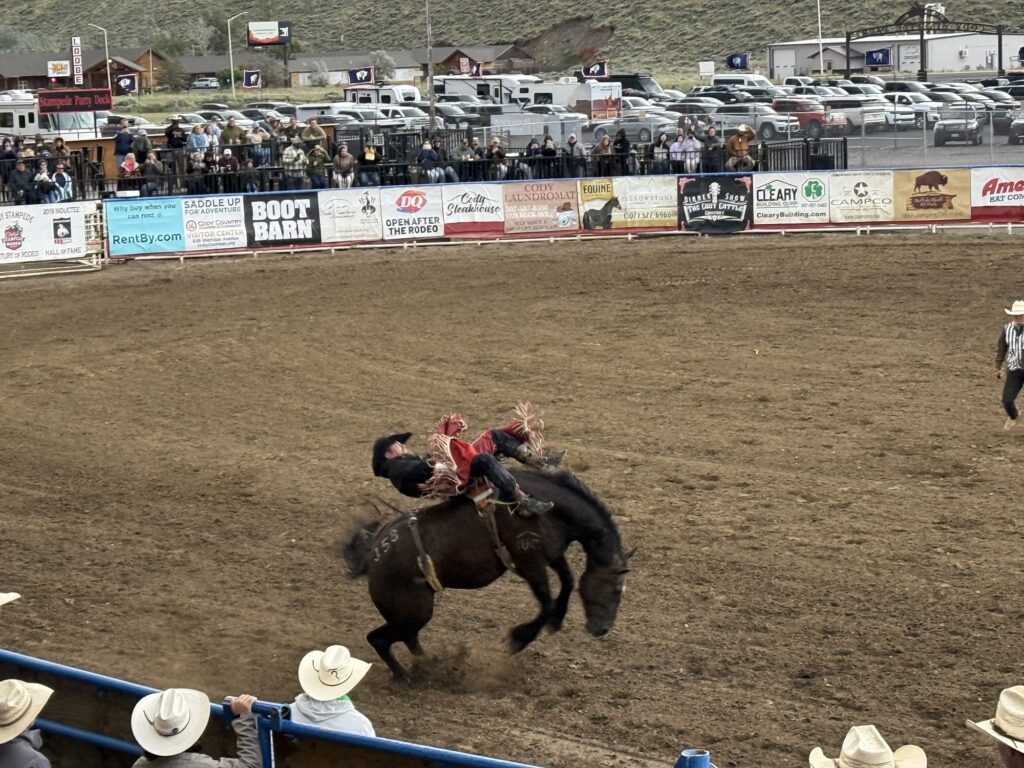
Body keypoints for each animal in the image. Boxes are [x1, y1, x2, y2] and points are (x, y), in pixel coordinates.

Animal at [343, 469, 631, 680]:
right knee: (379, 639)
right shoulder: (529, 561)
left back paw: (429, 666)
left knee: (407, 640)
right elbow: (547, 602)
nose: (602, 629)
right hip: (412, 613)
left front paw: (556, 621)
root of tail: (373, 552)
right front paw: (518, 639)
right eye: (618, 588)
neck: (549, 510)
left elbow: (569, 582)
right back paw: (406, 676)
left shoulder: (551, 555)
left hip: (410, 615)